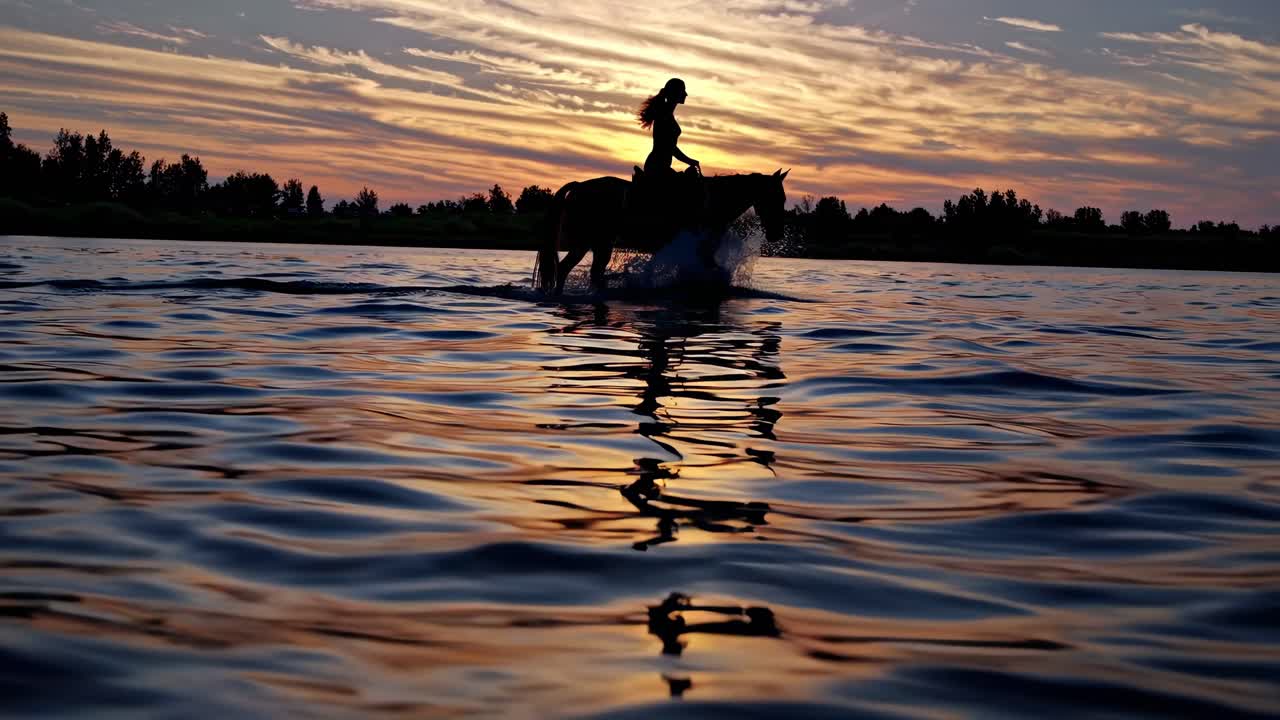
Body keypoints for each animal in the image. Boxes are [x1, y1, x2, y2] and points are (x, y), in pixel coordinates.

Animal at [534, 169, 789, 295]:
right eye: (775, 197)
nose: (777, 234)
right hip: (590, 242)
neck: (712, 203)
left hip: (595, 244)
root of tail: (579, 187)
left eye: (784, 198)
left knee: (577, 270)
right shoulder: (700, 252)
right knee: (575, 270)